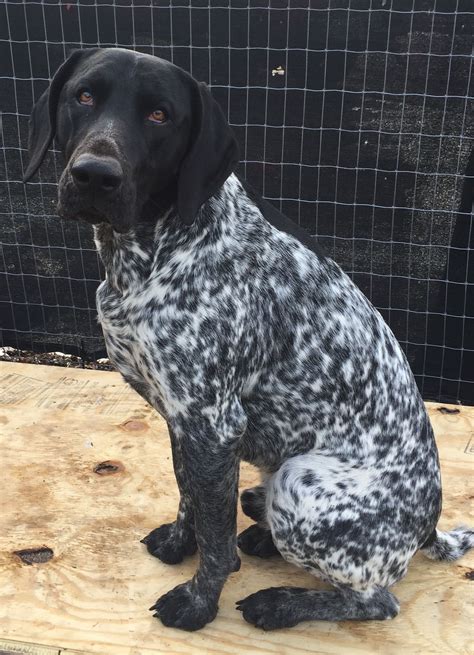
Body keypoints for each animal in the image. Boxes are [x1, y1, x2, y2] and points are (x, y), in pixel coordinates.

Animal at [23, 48, 474, 632]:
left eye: (160, 115)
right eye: (83, 96)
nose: (95, 175)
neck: (155, 248)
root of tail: (427, 530)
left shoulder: (214, 423)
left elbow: (216, 539)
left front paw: (198, 602)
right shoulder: (186, 420)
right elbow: (191, 496)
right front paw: (180, 544)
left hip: (301, 483)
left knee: (376, 600)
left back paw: (281, 602)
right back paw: (263, 539)